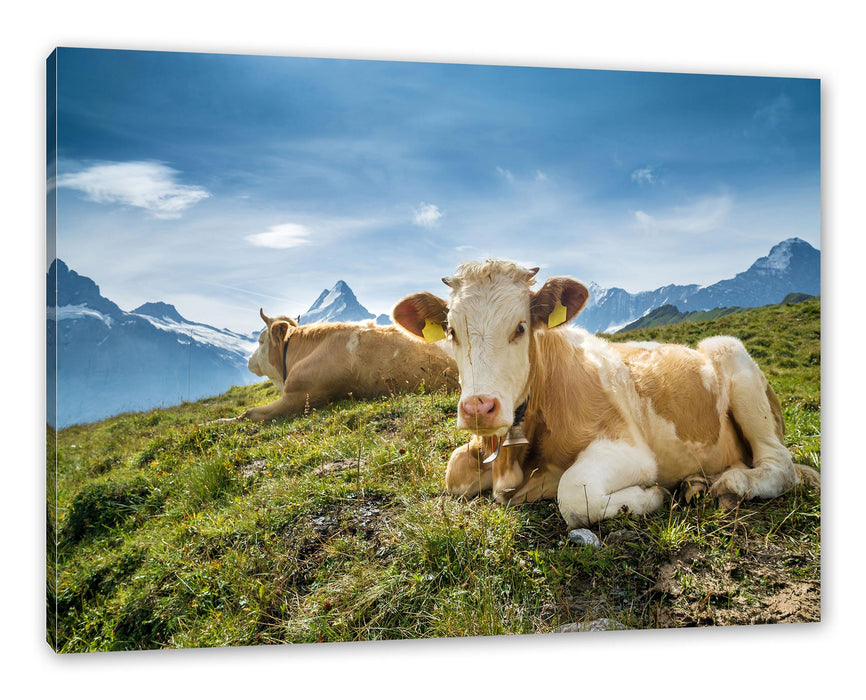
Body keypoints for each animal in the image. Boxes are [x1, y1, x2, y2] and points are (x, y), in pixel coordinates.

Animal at [393, 259, 819, 528]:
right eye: (451, 331)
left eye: (520, 327)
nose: (479, 407)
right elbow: (454, 470)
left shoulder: (629, 448)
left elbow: (574, 494)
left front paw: (650, 497)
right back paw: (695, 485)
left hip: (731, 355)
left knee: (779, 465)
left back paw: (730, 484)